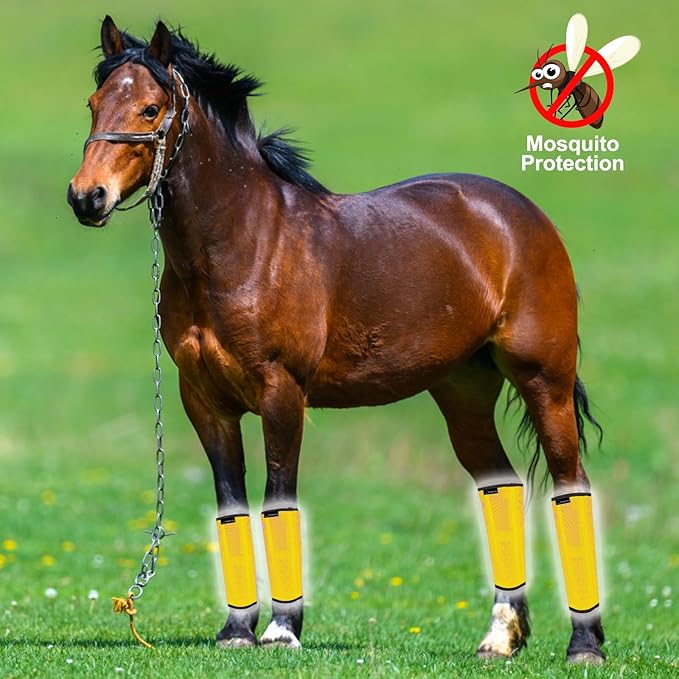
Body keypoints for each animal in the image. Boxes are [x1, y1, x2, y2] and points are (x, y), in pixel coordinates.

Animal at [68, 16, 606, 664]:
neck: (244, 243)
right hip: (463, 391)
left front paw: (281, 630)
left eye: (151, 108)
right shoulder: (204, 402)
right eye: (94, 103)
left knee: (571, 485)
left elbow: (278, 498)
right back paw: (500, 636)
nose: (86, 197)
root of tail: (519, 213)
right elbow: (231, 507)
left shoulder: (281, 394)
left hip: (543, 380)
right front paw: (236, 631)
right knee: (499, 484)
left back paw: (585, 643)